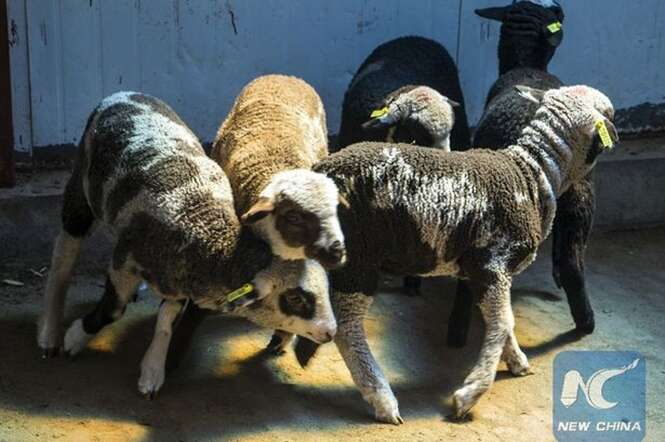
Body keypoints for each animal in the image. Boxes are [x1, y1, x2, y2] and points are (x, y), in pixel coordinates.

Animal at [38, 91, 334, 398]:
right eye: (296, 299)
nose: (330, 333)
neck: (205, 227)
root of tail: (124, 94)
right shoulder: (125, 263)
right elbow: (112, 309)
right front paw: (76, 337)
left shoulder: (178, 276)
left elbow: (166, 320)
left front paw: (153, 371)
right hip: (79, 193)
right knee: (62, 260)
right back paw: (51, 334)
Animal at [296, 84, 616, 424]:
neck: (533, 173)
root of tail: (320, 170)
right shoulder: (491, 262)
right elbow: (502, 322)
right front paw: (470, 393)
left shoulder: (482, 272)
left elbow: (505, 322)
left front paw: (516, 361)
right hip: (359, 259)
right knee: (347, 328)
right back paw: (382, 398)